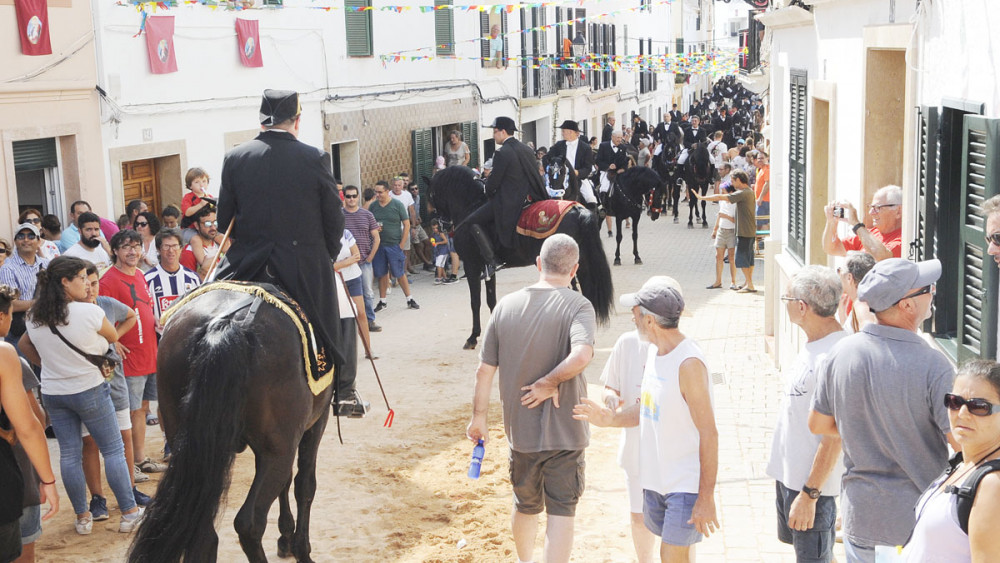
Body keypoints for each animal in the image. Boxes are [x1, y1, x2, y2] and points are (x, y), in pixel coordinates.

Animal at [127, 288, 332, 560]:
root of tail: (224, 324)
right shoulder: (315, 423)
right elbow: (304, 484)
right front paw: (299, 548)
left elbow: (288, 482)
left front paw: (285, 538)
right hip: (278, 450)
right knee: (250, 523)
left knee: (202, 532)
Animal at [432, 165, 612, 348]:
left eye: (432, 195)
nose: (440, 224)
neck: (471, 205)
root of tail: (578, 210)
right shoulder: (487, 268)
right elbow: (491, 299)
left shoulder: (471, 265)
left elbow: (475, 302)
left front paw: (472, 337)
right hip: (582, 264)